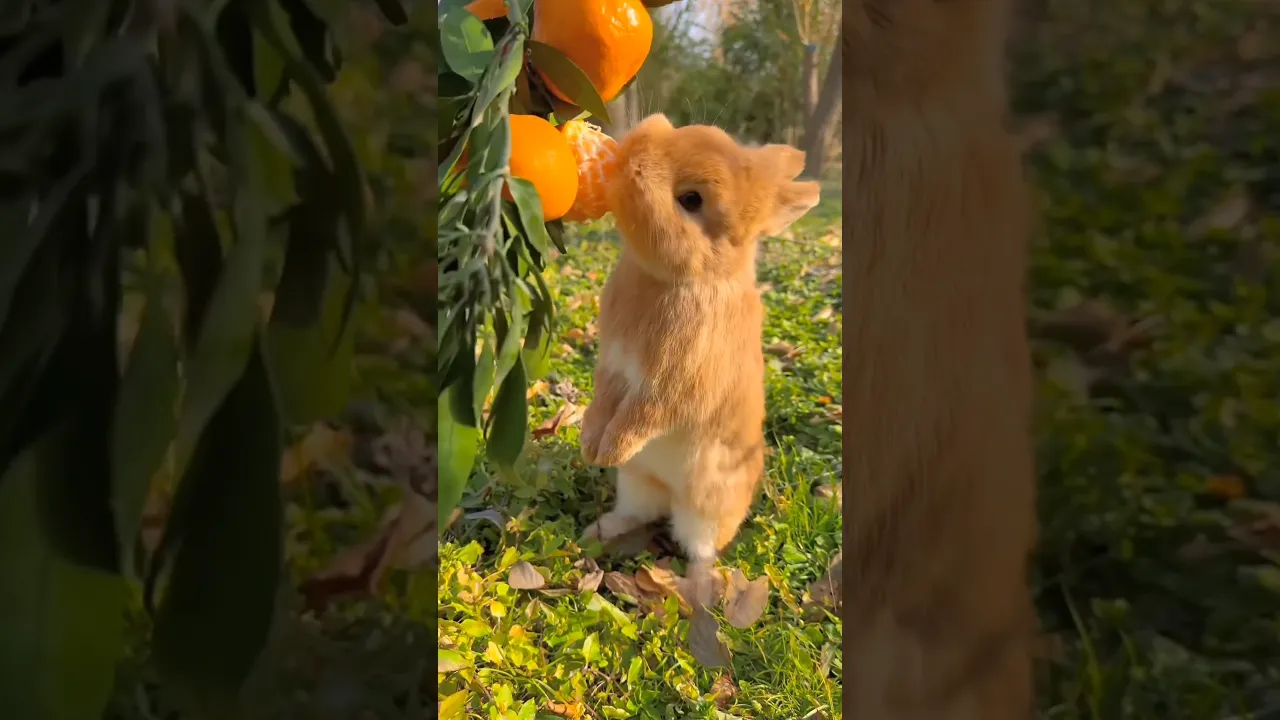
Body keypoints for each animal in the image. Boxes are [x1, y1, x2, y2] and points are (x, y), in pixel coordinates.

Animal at [577, 114, 820, 603]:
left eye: (691, 200)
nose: (634, 150)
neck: (678, 279)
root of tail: (669, 492)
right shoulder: (614, 368)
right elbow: (605, 401)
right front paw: (590, 445)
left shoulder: (672, 386)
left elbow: (642, 415)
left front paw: (609, 450)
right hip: (638, 482)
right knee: (637, 512)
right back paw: (598, 532)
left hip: (707, 508)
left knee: (701, 546)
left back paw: (697, 587)